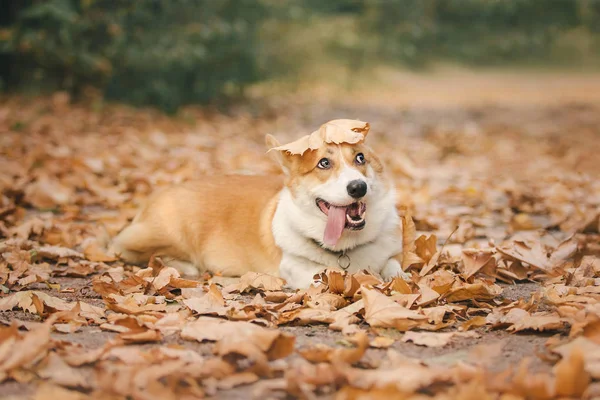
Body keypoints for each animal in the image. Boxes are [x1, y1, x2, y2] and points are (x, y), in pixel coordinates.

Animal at [109, 118, 406, 288]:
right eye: (324, 163)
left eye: (360, 158)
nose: (358, 187)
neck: (345, 249)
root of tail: (152, 198)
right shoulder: (296, 269)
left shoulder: (389, 255)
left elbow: (394, 267)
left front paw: (397, 279)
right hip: (165, 234)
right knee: (126, 249)